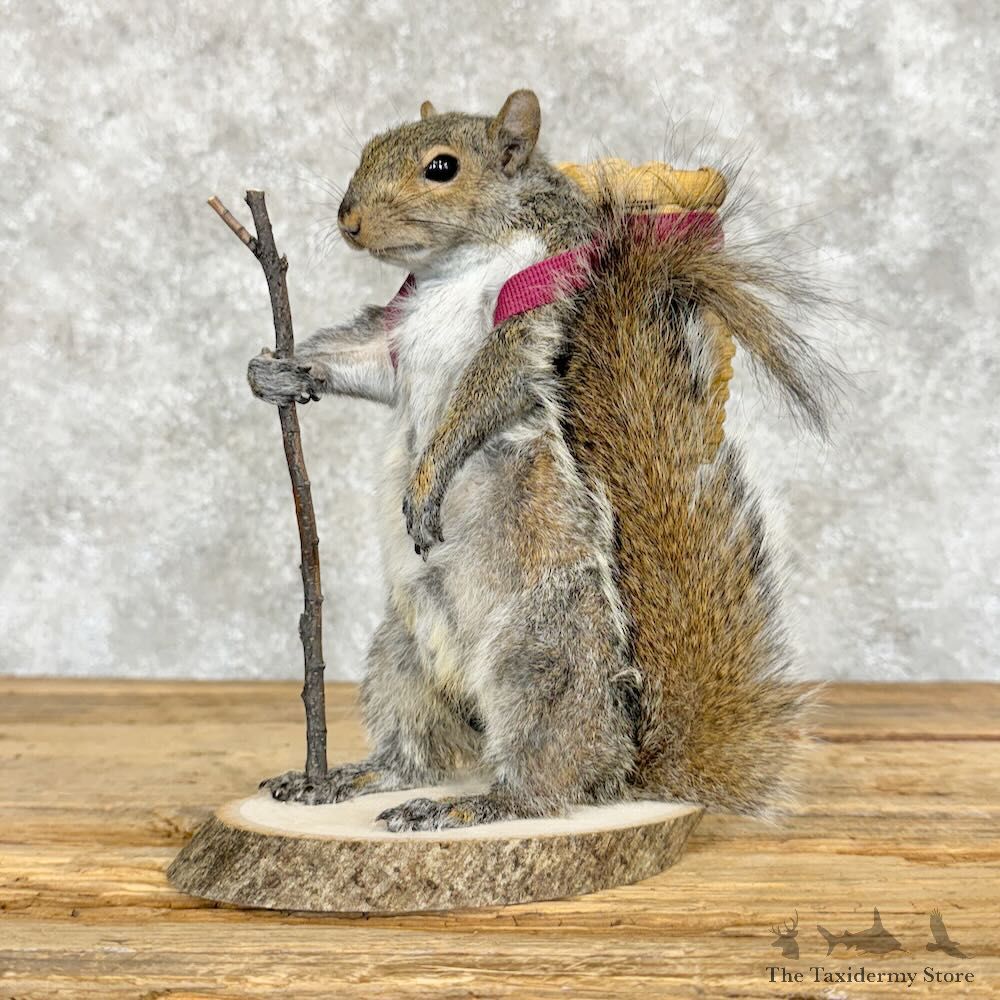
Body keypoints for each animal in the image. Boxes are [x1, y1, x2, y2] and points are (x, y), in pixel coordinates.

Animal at [247, 90, 840, 831]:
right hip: (401, 656)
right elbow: (368, 362)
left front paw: (426, 481)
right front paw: (279, 370)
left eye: (442, 167)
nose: (348, 221)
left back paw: (472, 807)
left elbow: (485, 390)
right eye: (370, 146)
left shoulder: (530, 315)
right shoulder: (397, 332)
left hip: (541, 658)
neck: (455, 263)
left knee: (544, 783)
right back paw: (350, 779)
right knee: (423, 753)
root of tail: (624, 768)